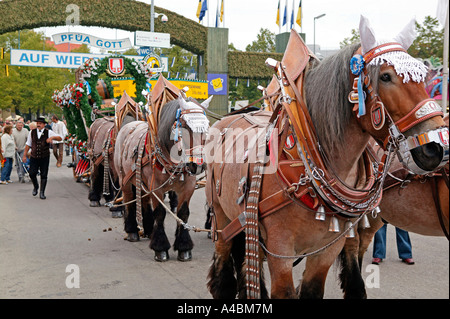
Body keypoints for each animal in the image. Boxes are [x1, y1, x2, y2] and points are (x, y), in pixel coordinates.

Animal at [112, 92, 211, 262]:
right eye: (184, 127)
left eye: (207, 127)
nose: (197, 164)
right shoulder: (155, 188)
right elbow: (160, 213)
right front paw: (160, 248)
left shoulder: (188, 186)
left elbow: (183, 212)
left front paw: (184, 247)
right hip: (124, 180)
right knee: (128, 199)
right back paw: (132, 231)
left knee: (144, 200)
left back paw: (148, 229)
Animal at [206, 19, 448, 300]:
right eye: (385, 76)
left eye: (423, 77)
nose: (437, 148)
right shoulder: (280, 250)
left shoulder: (328, 249)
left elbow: (312, 289)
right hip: (222, 219)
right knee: (224, 276)